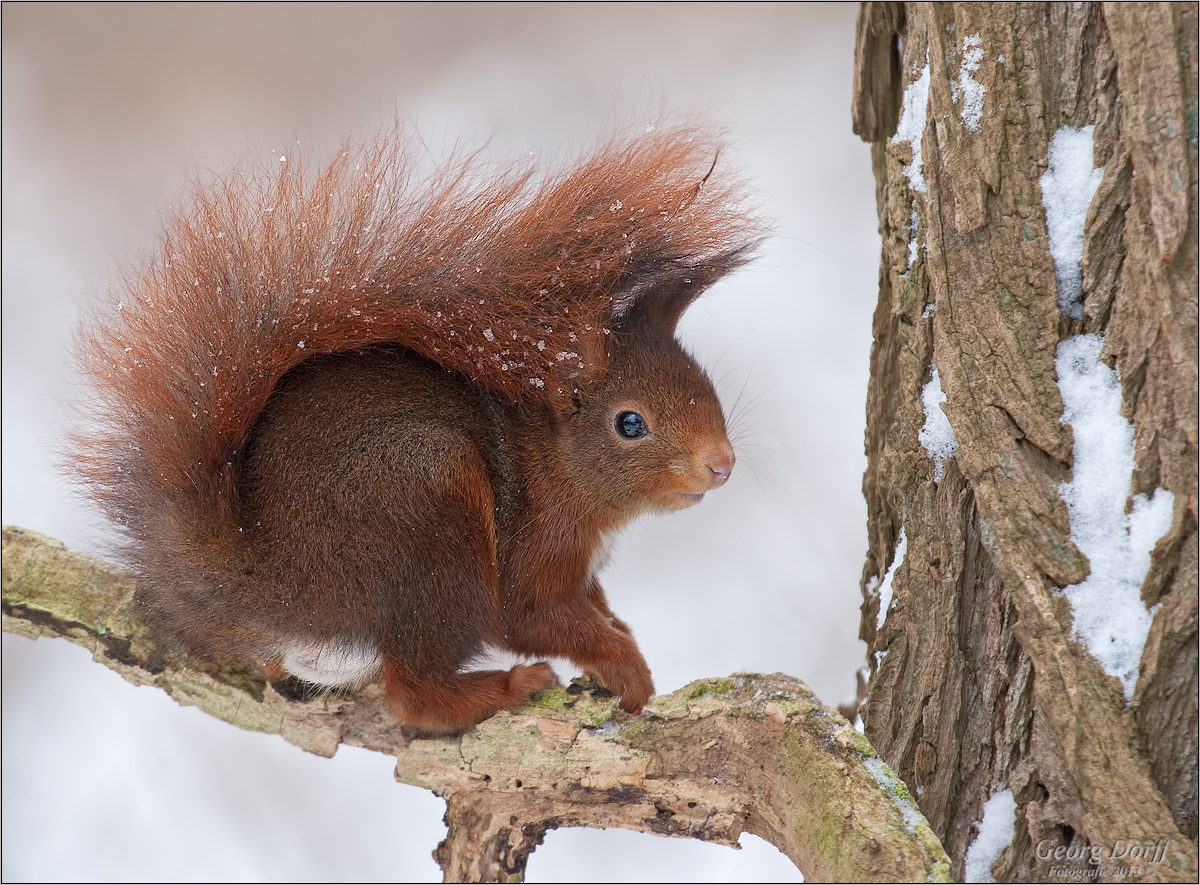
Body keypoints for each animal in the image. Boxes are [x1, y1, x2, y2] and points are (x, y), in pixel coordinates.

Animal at [72, 125, 758, 729]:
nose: (722, 464)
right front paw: (628, 669)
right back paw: (507, 688)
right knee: (414, 694)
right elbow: (535, 617)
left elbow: (598, 609)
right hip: (433, 525)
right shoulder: (534, 553)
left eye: (707, 386)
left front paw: (622, 637)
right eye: (630, 423)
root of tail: (272, 584)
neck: (556, 464)